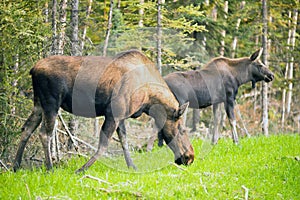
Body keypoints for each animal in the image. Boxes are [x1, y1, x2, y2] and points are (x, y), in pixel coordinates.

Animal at [12, 49, 193, 172]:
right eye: (182, 129)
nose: (190, 156)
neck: (149, 99)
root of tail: (33, 69)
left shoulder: (121, 117)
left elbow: (124, 142)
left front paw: (132, 166)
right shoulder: (113, 114)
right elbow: (104, 146)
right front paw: (81, 170)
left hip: (38, 104)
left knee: (27, 128)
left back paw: (15, 166)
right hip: (51, 103)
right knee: (45, 133)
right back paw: (50, 167)